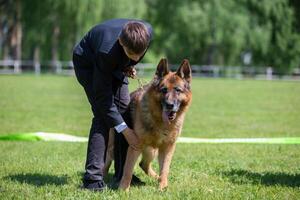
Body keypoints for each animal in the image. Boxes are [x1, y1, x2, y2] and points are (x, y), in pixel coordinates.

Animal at [104, 57, 191, 191]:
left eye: (178, 90)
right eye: (164, 90)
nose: (169, 105)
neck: (160, 122)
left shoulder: (167, 147)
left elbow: (165, 169)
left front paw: (162, 187)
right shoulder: (134, 146)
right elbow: (127, 170)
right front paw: (123, 190)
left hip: (152, 151)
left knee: (143, 164)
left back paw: (156, 177)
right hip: (114, 147)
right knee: (108, 161)